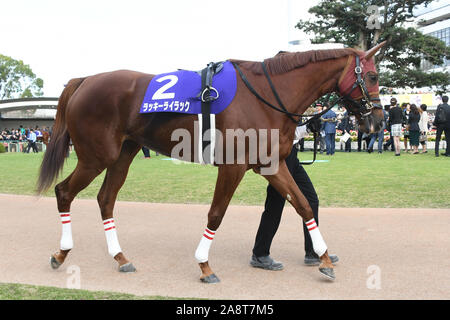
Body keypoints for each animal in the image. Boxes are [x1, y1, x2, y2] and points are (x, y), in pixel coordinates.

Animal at [37, 42, 384, 282]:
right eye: (372, 75)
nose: (377, 120)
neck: (265, 96)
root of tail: (85, 80)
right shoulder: (233, 167)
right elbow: (216, 214)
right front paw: (204, 265)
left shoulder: (272, 164)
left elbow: (303, 205)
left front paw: (324, 259)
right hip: (96, 156)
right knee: (64, 192)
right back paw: (61, 253)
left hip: (123, 154)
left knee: (106, 199)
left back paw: (120, 258)